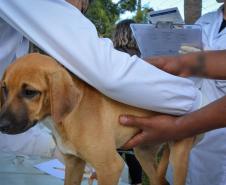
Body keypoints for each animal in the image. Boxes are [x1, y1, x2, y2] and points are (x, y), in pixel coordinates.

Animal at [0, 53, 194, 185]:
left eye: (30, 92)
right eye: (4, 89)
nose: (1, 125)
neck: (69, 117)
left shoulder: (110, 167)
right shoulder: (74, 163)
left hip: (178, 159)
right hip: (143, 153)